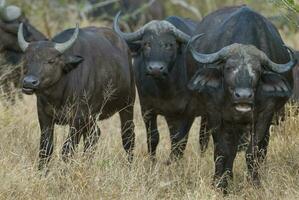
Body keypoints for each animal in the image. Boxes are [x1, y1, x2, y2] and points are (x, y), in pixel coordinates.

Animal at [17, 23, 136, 170]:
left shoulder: (77, 117)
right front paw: (42, 172)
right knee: (94, 135)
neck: (57, 94)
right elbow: (46, 148)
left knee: (128, 136)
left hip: (128, 104)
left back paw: (130, 166)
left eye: (51, 60)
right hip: (92, 116)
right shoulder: (44, 115)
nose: (29, 82)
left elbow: (67, 149)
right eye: (26, 59)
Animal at [115, 12, 206, 162]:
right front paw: (152, 161)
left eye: (169, 45)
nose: (156, 69)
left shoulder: (188, 113)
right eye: (147, 44)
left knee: (203, 135)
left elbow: (180, 141)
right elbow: (153, 137)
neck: (165, 89)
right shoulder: (147, 109)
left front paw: (173, 162)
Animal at [189, 5, 296, 192]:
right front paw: (220, 184)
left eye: (257, 70)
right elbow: (222, 151)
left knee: (262, 149)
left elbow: (253, 151)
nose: (244, 96)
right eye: (229, 68)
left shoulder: (265, 115)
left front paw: (255, 183)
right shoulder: (215, 114)